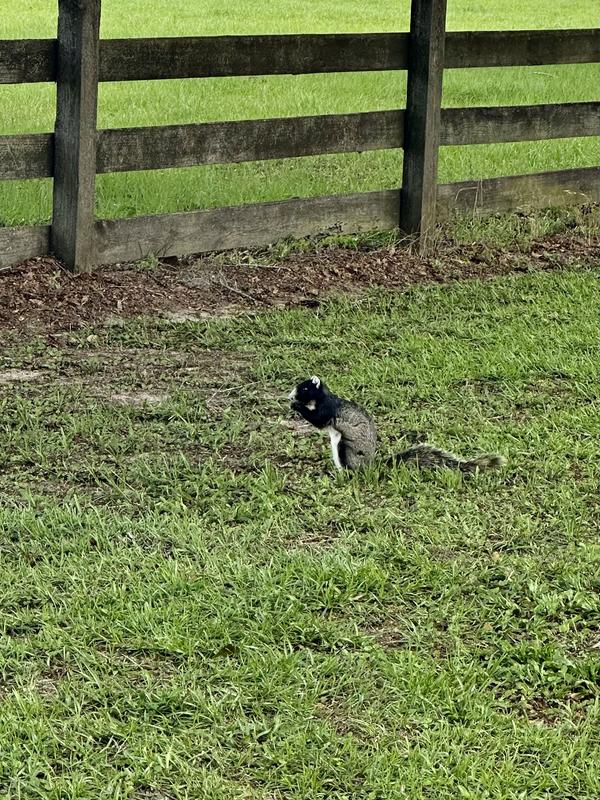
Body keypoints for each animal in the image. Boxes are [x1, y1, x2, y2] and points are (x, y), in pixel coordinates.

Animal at [289, 375, 506, 474]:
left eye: (305, 388)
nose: (291, 395)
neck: (321, 398)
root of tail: (371, 466)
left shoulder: (328, 409)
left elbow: (318, 420)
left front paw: (297, 406)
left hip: (346, 449)